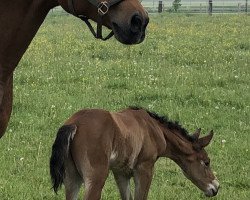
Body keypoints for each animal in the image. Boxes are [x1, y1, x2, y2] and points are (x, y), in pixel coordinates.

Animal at [50, 108, 219, 200]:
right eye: (207, 162)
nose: (216, 187)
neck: (153, 128)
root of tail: (74, 124)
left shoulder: (121, 173)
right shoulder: (145, 169)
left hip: (72, 179)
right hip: (95, 179)